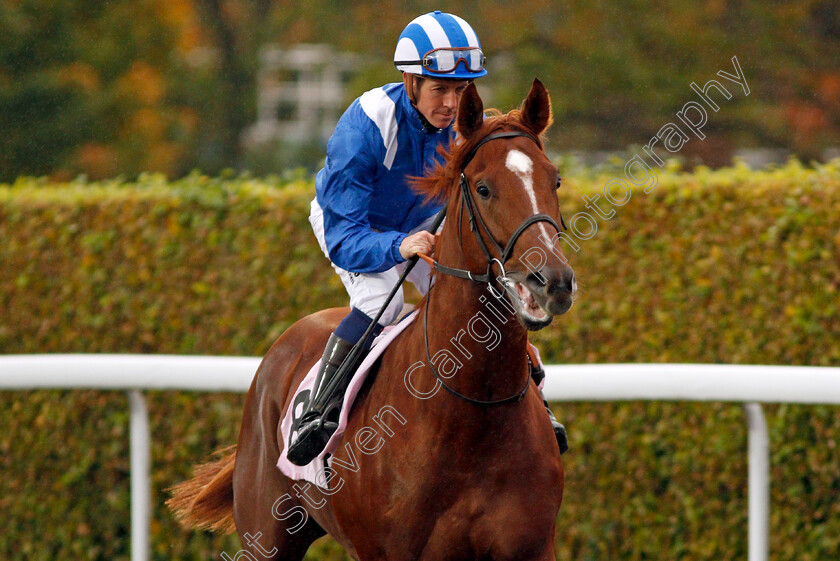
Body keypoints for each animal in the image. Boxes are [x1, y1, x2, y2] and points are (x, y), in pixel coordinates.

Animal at [171, 79, 576, 560]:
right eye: (484, 188)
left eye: (554, 179)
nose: (551, 281)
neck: (470, 411)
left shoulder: (532, 547)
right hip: (267, 534)